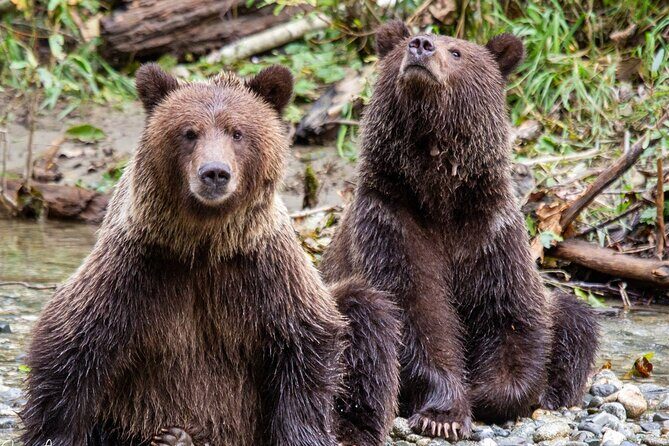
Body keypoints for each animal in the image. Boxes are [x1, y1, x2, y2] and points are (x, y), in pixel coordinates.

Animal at [19, 64, 400, 446]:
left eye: (237, 132)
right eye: (189, 132)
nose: (214, 172)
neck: (205, 243)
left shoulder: (263, 269)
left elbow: (305, 340)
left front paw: (304, 434)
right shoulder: (139, 267)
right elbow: (73, 343)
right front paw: (53, 434)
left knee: (366, 311)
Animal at [320, 21, 599, 440]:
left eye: (456, 52)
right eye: (406, 42)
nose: (421, 45)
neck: (439, 198)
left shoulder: (489, 232)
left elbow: (511, 314)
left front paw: (490, 394)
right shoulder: (391, 223)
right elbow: (416, 312)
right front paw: (443, 414)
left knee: (573, 315)